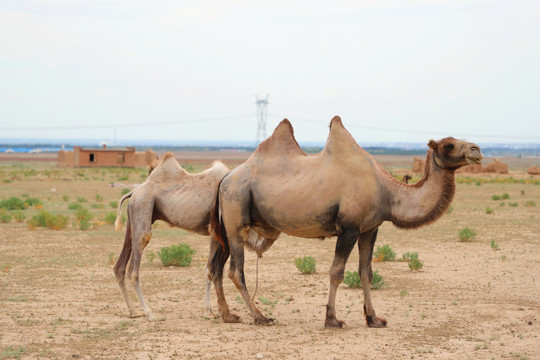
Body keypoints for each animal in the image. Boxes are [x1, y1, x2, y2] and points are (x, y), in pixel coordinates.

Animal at [112, 153, 270, 320]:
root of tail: (134, 191)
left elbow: (210, 267)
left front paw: (213, 310)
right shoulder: (215, 230)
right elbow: (210, 268)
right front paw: (209, 311)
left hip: (133, 217)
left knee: (119, 266)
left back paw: (132, 311)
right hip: (143, 205)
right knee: (134, 269)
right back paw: (149, 313)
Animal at [209, 116, 484, 328]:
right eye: (449, 145)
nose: (477, 150)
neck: (387, 192)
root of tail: (225, 179)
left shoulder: (370, 228)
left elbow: (366, 273)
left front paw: (374, 319)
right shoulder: (348, 228)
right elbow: (336, 272)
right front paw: (332, 320)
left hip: (226, 226)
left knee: (216, 266)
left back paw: (228, 315)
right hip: (236, 214)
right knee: (235, 270)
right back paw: (260, 317)